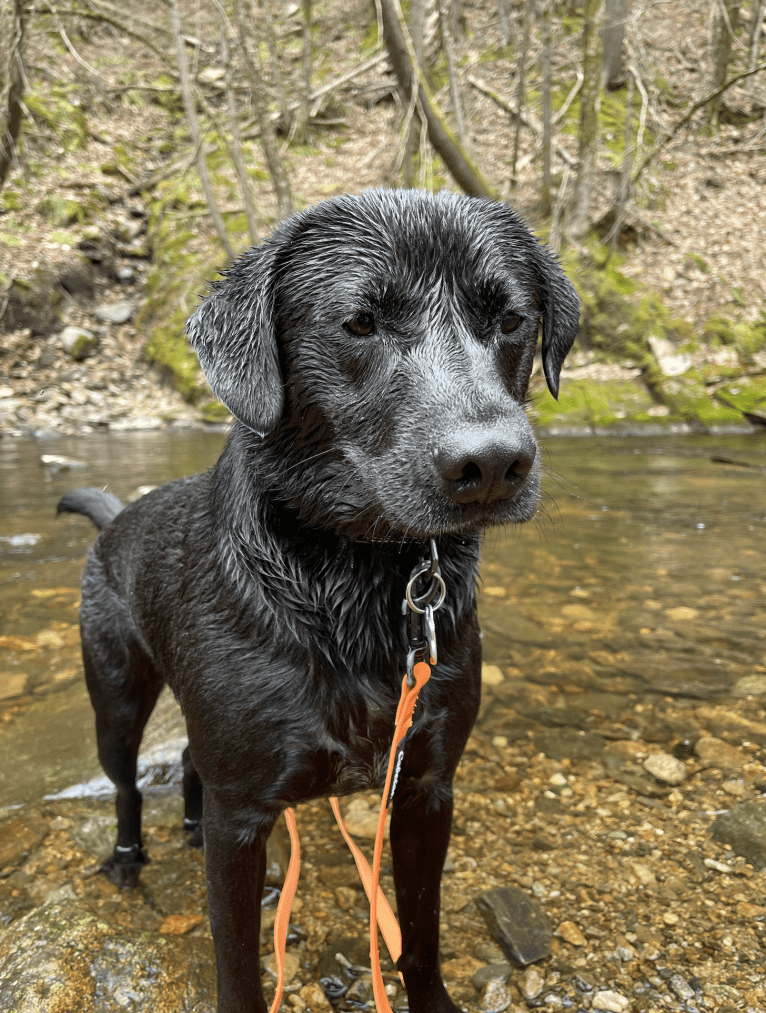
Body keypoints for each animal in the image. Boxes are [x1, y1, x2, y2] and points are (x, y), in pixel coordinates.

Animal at [56, 191, 575, 1013]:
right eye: (359, 322)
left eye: (512, 319)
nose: (493, 464)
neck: (351, 581)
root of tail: (115, 521)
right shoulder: (244, 821)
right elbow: (237, 964)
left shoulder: (426, 788)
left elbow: (419, 933)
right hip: (116, 697)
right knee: (127, 785)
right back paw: (129, 856)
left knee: (192, 766)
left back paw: (189, 826)